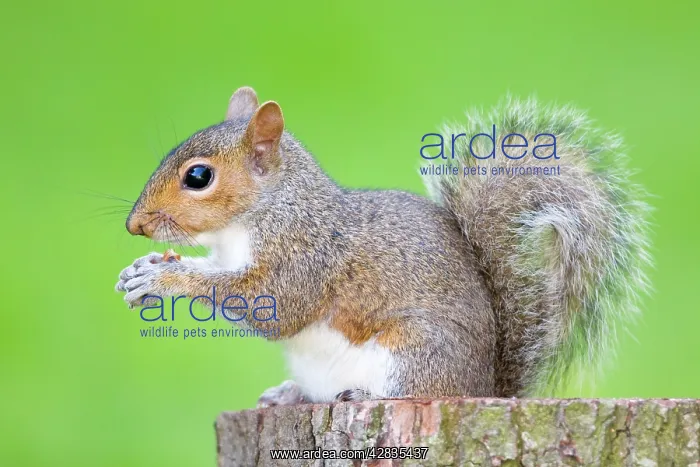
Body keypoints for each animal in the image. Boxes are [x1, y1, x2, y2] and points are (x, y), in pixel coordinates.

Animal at [115, 86, 650, 405]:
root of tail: (486, 389)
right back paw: (290, 394)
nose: (134, 225)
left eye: (198, 177)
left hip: (413, 354)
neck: (257, 217)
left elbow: (272, 305)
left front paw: (164, 277)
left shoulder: (306, 256)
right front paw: (142, 268)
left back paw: (369, 397)